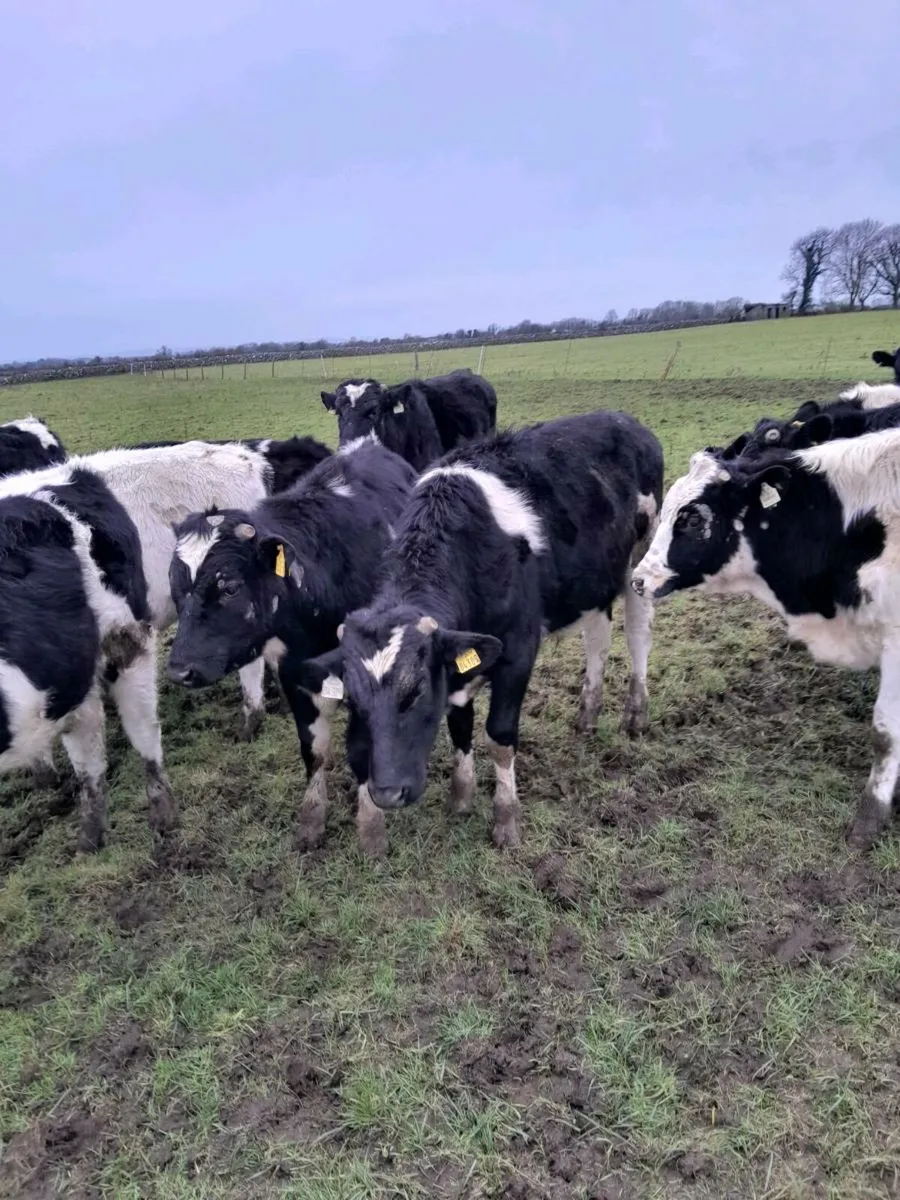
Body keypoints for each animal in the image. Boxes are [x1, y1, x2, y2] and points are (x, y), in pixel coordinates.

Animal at [0, 441, 277, 848]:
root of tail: (245, 456)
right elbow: (86, 761)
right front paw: (89, 838)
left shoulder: (126, 641)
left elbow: (141, 729)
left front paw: (163, 817)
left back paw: (251, 722)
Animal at [165, 442, 417, 850]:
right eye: (174, 586)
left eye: (229, 586)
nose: (179, 670)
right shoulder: (295, 676)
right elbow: (313, 751)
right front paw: (311, 821)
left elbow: (365, 751)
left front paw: (371, 829)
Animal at [297, 411, 664, 857]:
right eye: (352, 698)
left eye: (417, 690)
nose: (385, 793)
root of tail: (622, 419)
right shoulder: (461, 651)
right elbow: (459, 724)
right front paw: (461, 796)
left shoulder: (519, 650)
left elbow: (499, 736)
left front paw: (506, 819)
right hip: (592, 581)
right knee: (597, 639)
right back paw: (588, 713)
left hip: (641, 557)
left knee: (638, 632)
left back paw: (636, 712)